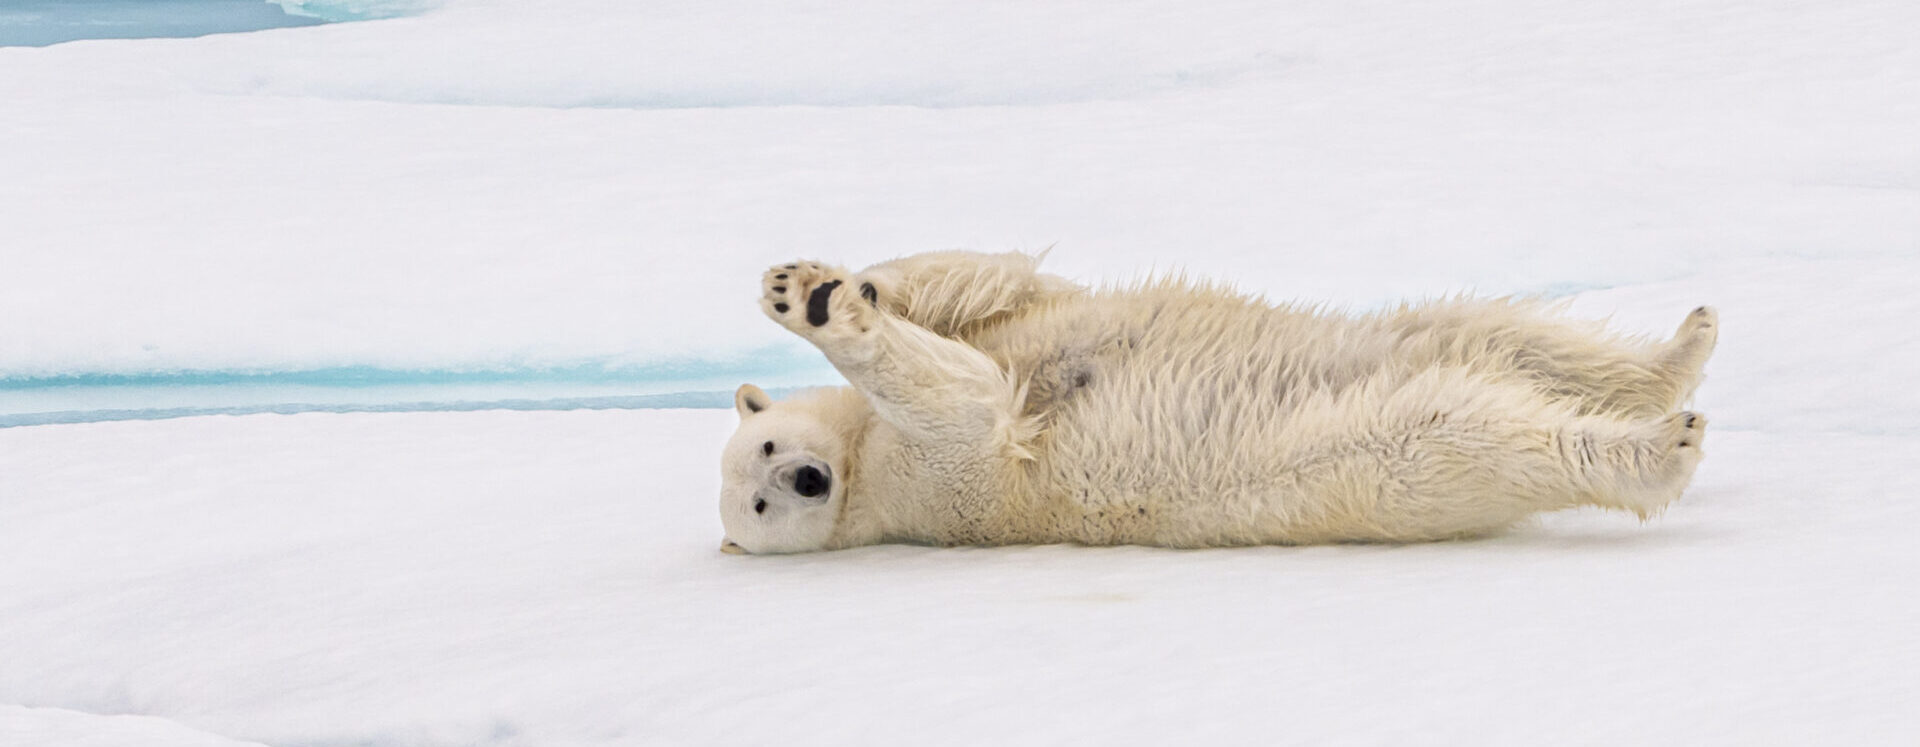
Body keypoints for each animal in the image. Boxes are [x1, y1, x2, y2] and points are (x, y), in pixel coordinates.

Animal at [717, 250, 1717, 554]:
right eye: (756, 503)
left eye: (762, 451)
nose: (806, 480)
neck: (859, 463)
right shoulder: (940, 487)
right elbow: (965, 405)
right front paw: (825, 307)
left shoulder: (1014, 322)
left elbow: (988, 289)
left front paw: (814, 287)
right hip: (1363, 456)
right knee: (1465, 428)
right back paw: (1662, 444)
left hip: (1387, 343)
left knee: (1496, 329)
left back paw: (1683, 349)